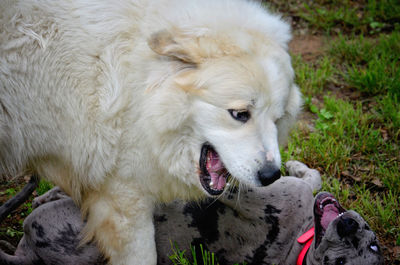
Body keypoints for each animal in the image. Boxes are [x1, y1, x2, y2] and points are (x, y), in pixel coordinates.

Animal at [0, 161, 382, 264]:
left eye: (340, 263)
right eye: (375, 244)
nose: (348, 226)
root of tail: (29, 255)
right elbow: (313, 176)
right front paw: (299, 166)